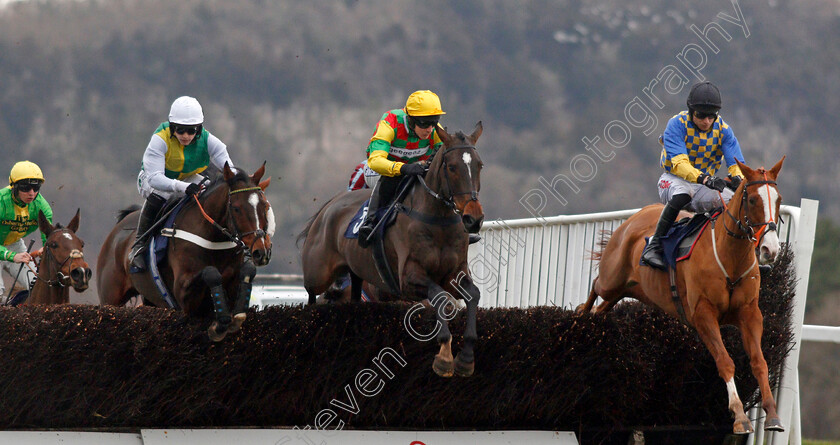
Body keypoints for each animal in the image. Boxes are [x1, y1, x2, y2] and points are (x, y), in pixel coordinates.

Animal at [98, 163, 274, 340]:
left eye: (265, 206)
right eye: (236, 208)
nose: (261, 252)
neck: (213, 240)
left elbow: (248, 271)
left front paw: (237, 315)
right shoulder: (183, 294)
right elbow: (211, 272)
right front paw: (220, 323)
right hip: (110, 298)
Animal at [302, 123, 486, 376]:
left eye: (479, 165)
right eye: (452, 167)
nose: (473, 219)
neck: (437, 220)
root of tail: (329, 206)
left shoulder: (454, 274)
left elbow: (473, 294)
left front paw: (466, 358)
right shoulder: (408, 278)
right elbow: (439, 297)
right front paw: (444, 357)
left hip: (356, 272)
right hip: (318, 272)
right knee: (311, 296)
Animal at [576, 156, 788, 434]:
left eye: (778, 199)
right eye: (752, 199)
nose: (769, 249)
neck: (730, 258)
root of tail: (633, 220)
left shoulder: (750, 313)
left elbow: (759, 362)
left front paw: (773, 414)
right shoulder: (703, 314)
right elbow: (725, 361)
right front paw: (739, 415)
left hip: (628, 289)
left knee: (602, 308)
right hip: (612, 279)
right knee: (595, 287)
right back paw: (580, 315)